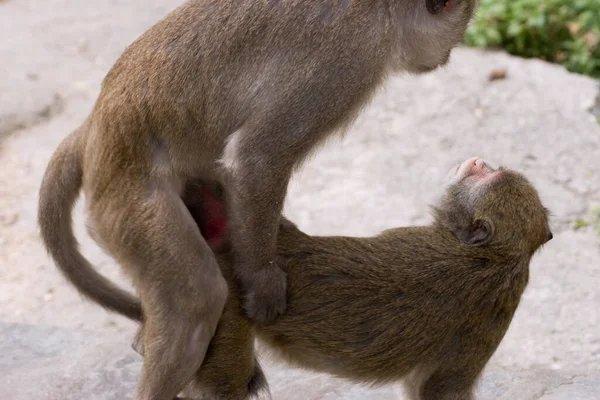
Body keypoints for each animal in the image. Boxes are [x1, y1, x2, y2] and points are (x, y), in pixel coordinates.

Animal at [37, 1, 478, 398]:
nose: (446, 57)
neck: (383, 11)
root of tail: (93, 127)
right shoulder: (348, 61)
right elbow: (257, 158)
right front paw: (262, 281)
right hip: (123, 195)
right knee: (195, 297)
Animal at [164, 158, 552, 398]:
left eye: (488, 176)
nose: (477, 162)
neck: (500, 257)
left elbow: (442, 388)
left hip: (225, 306)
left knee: (223, 382)